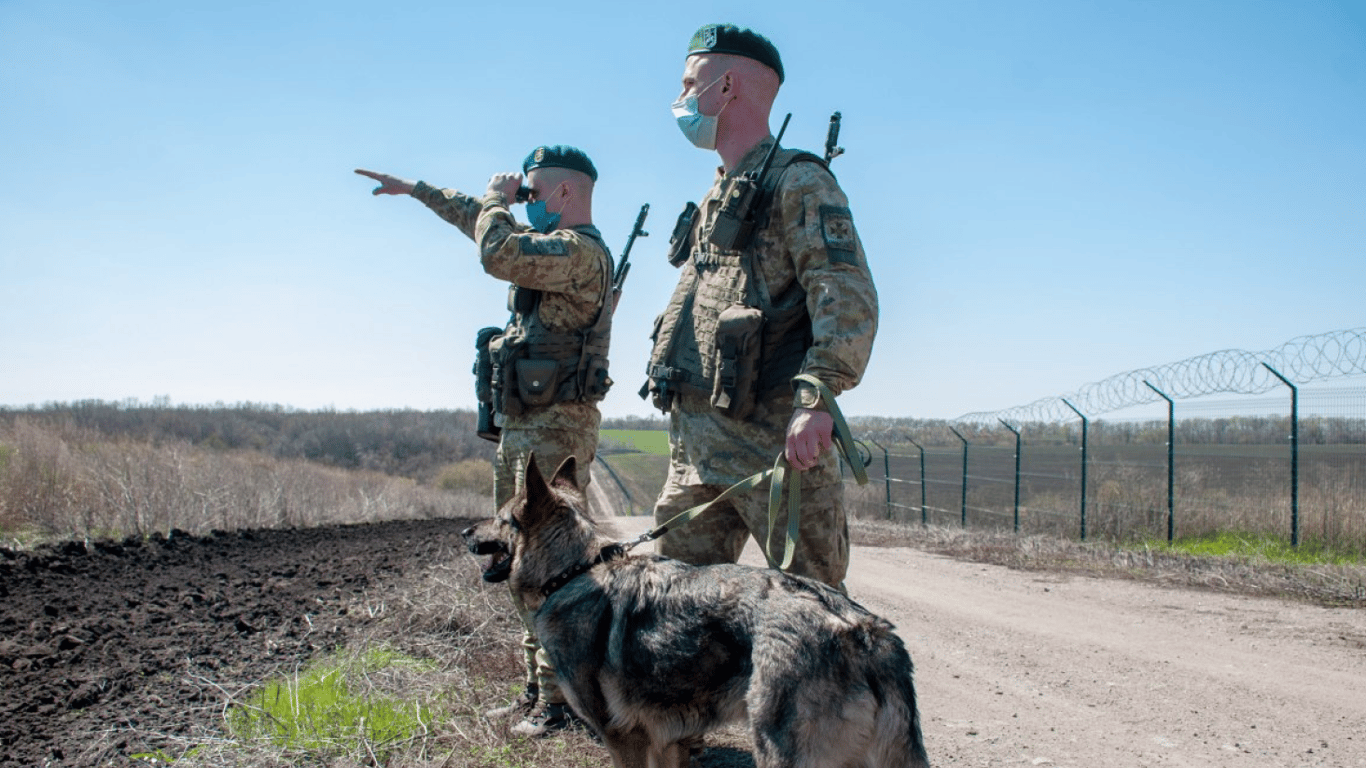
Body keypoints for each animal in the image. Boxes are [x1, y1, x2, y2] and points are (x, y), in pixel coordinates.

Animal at [464, 453, 934, 765]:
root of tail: (865, 628)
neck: (574, 570)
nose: (465, 531)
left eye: (499, 517)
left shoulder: (623, 739)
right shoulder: (666, 743)